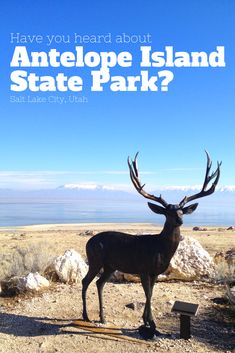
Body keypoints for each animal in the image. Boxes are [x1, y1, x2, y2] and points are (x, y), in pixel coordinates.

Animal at [81, 150, 220, 334]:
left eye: (182, 211)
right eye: (167, 212)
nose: (180, 220)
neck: (160, 249)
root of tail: (88, 242)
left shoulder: (155, 272)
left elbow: (151, 293)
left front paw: (147, 322)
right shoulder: (143, 268)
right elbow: (147, 294)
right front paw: (151, 324)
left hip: (110, 265)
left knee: (99, 283)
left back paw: (102, 317)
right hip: (95, 260)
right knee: (85, 281)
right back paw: (86, 316)